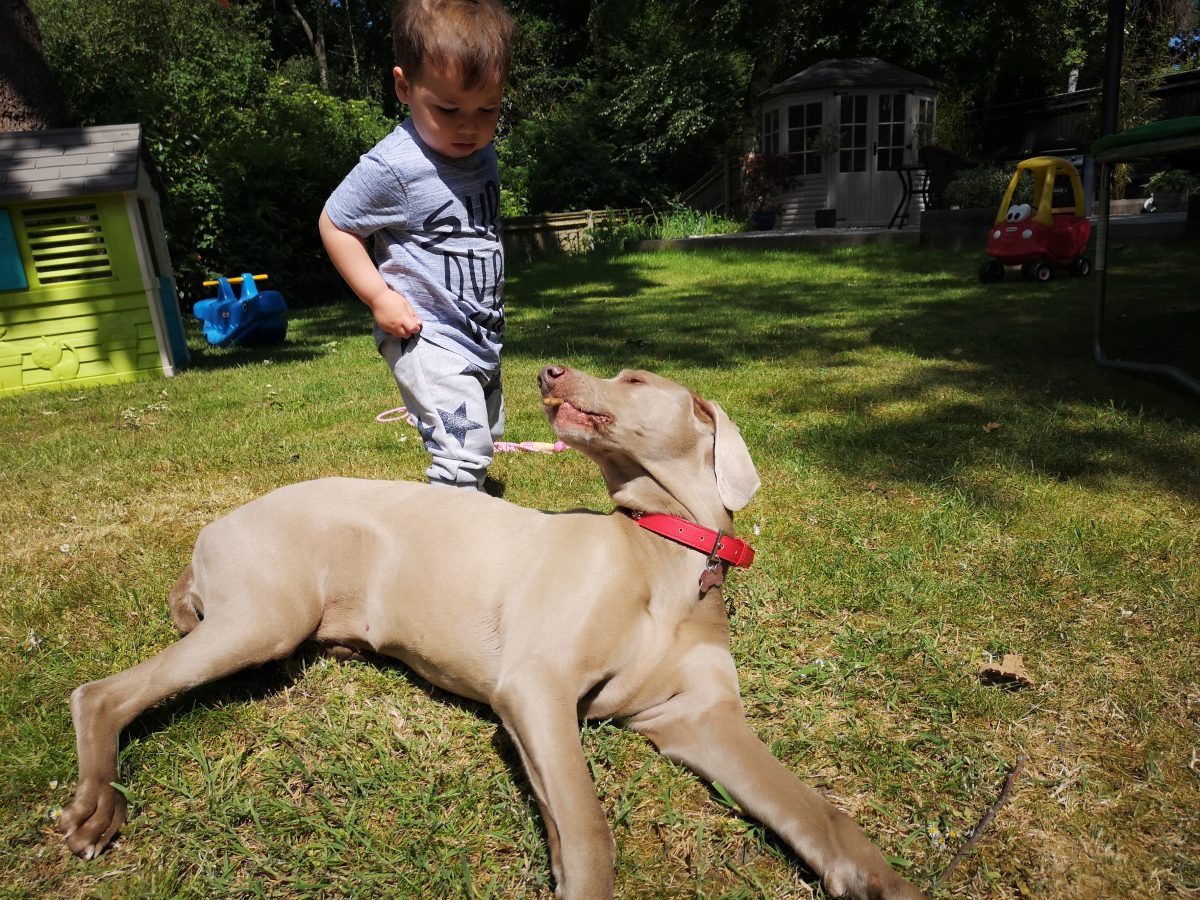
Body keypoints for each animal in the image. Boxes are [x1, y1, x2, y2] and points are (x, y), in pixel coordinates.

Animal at [58, 367, 926, 900]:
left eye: (636, 380)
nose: (548, 372)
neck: (667, 551)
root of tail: (212, 528)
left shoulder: (698, 719)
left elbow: (820, 811)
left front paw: (882, 879)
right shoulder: (535, 688)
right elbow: (587, 828)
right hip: (261, 620)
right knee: (100, 692)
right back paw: (95, 806)